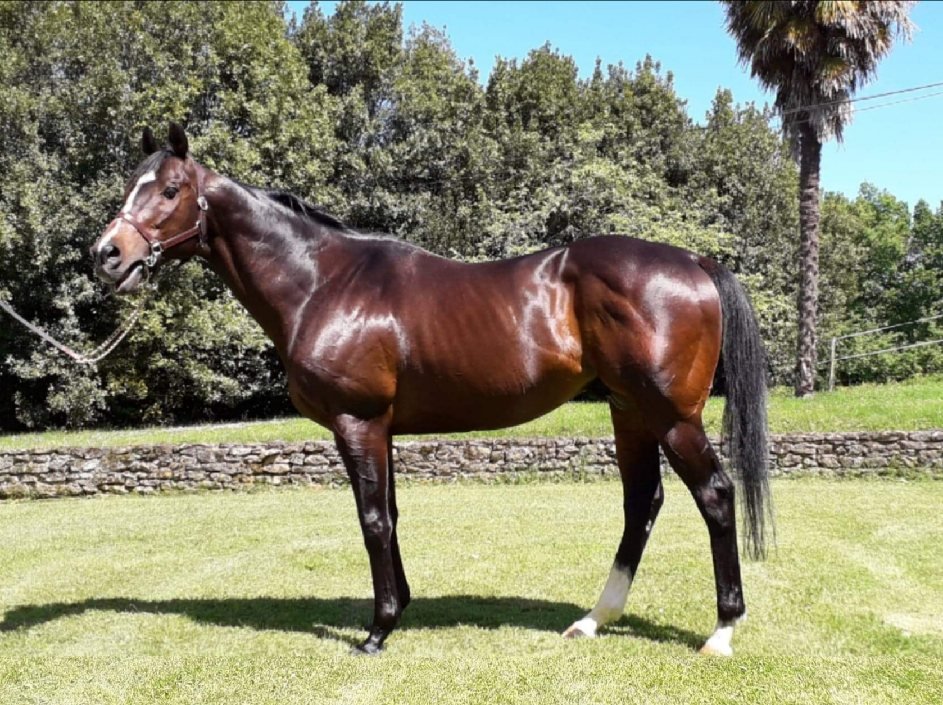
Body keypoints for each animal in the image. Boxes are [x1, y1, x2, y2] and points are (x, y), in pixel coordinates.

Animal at [90, 123, 771, 656]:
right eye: (130, 185)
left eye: (170, 190)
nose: (107, 255)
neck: (321, 282)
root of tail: (694, 261)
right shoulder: (382, 429)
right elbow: (390, 513)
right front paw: (401, 608)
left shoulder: (358, 422)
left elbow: (371, 519)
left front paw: (377, 631)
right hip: (629, 410)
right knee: (642, 502)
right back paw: (593, 620)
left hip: (672, 415)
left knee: (714, 495)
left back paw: (721, 632)